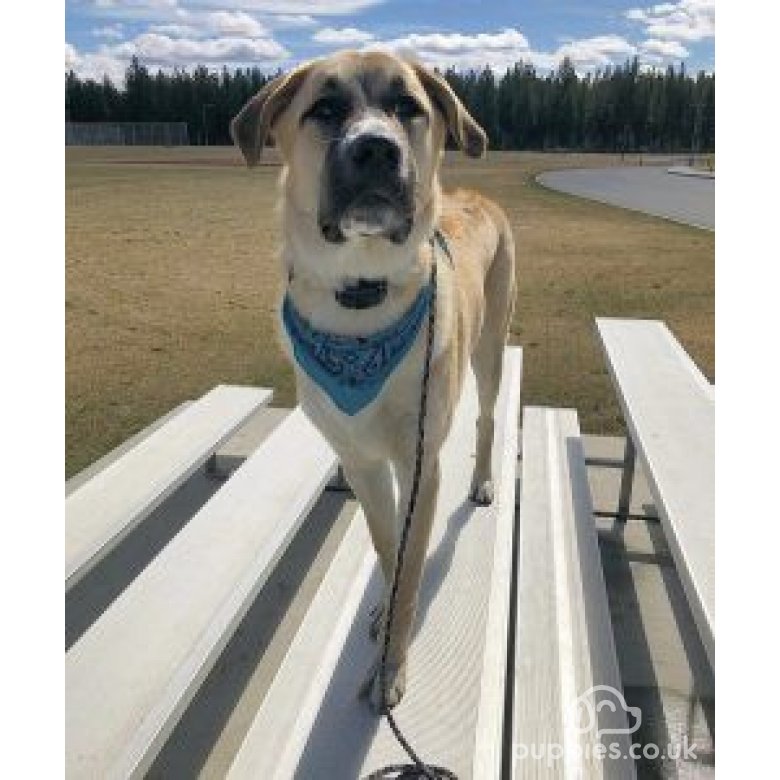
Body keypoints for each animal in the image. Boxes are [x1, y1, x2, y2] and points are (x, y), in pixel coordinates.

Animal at [229, 50, 516, 712]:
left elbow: (410, 566)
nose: (377, 150)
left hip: (491, 346)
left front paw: (391, 666)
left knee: (487, 415)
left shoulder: (419, 463)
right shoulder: (361, 460)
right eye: (325, 109)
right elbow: (390, 551)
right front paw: (385, 614)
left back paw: (483, 479)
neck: (360, 297)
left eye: (409, 106)